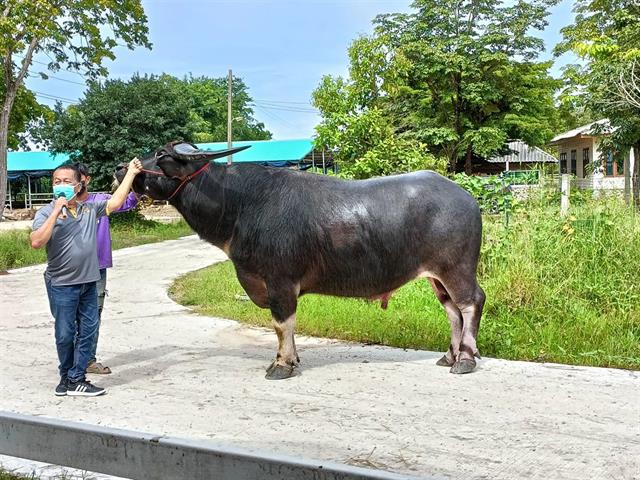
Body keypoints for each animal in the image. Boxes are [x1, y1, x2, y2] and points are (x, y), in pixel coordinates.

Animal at [115, 142, 484, 378]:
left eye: (162, 155)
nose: (121, 168)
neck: (241, 205)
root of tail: (467, 197)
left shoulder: (280, 281)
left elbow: (282, 324)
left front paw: (282, 365)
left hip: (456, 268)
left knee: (471, 303)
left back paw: (465, 360)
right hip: (436, 276)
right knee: (452, 310)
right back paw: (448, 356)